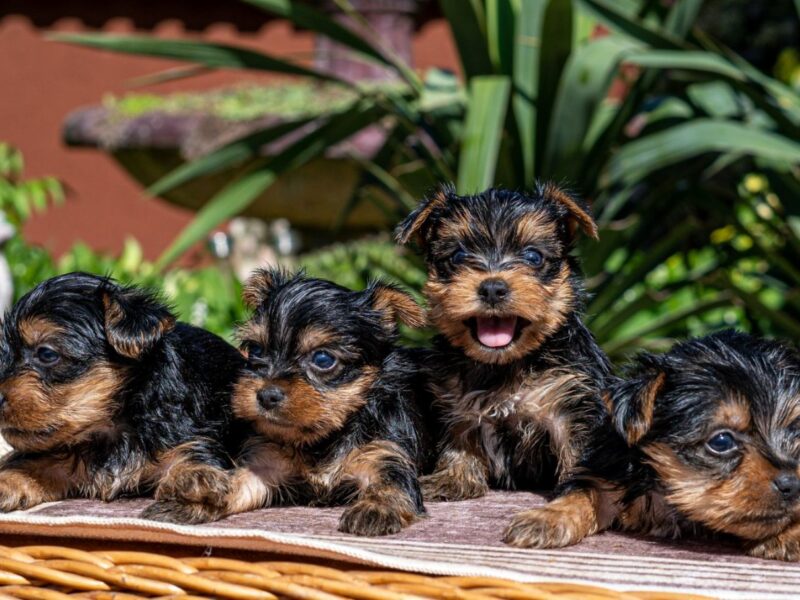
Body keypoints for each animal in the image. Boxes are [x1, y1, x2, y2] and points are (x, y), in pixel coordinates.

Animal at [0, 274, 244, 520]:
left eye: (47, 354)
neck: (110, 430)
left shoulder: (184, 436)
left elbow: (191, 455)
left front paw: (194, 478)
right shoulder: (58, 457)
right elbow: (27, 466)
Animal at [172, 270, 434, 536]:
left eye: (323, 358)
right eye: (255, 350)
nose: (266, 395)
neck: (323, 439)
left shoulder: (384, 452)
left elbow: (392, 484)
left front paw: (375, 508)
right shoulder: (266, 463)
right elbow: (238, 481)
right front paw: (200, 499)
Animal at [396, 184, 608, 548]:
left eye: (533, 256)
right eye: (458, 257)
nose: (493, 287)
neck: (504, 364)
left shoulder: (572, 409)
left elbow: (583, 476)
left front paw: (555, 516)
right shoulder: (459, 405)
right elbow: (459, 442)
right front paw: (451, 478)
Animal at [520, 330, 800, 560]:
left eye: (796, 431)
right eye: (722, 441)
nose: (793, 484)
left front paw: (789, 533)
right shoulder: (609, 473)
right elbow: (581, 492)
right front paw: (545, 518)